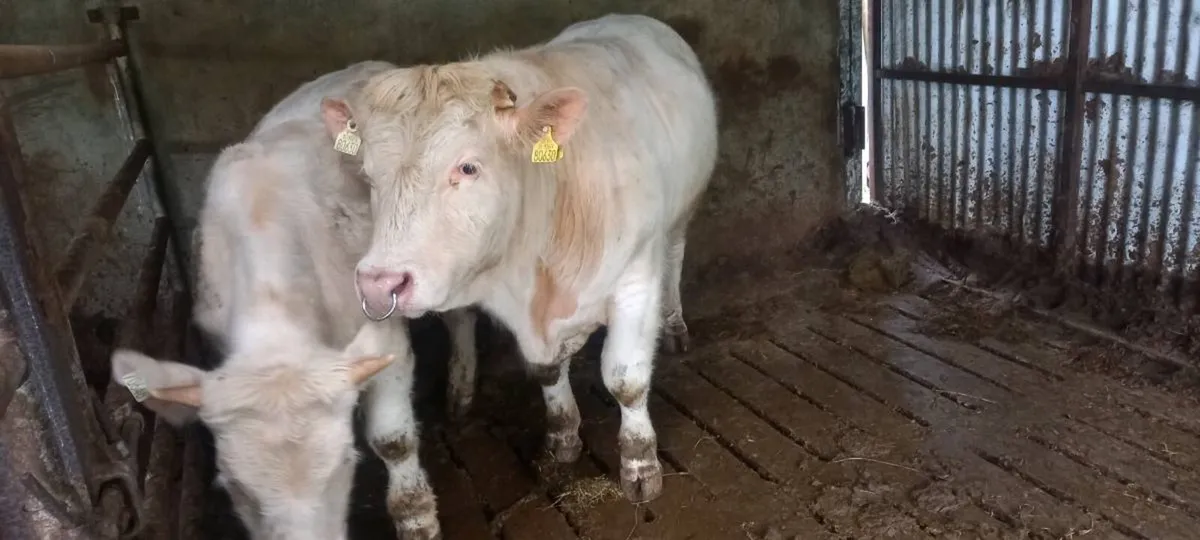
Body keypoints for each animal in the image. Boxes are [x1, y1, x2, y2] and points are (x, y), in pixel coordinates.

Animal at [321, 14, 719, 503]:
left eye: (468, 167)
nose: (379, 282)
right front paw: (562, 437)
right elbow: (546, 372)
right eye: (368, 175)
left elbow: (626, 379)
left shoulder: (636, 277)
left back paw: (676, 324)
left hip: (684, 210)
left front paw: (640, 464)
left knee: (677, 256)